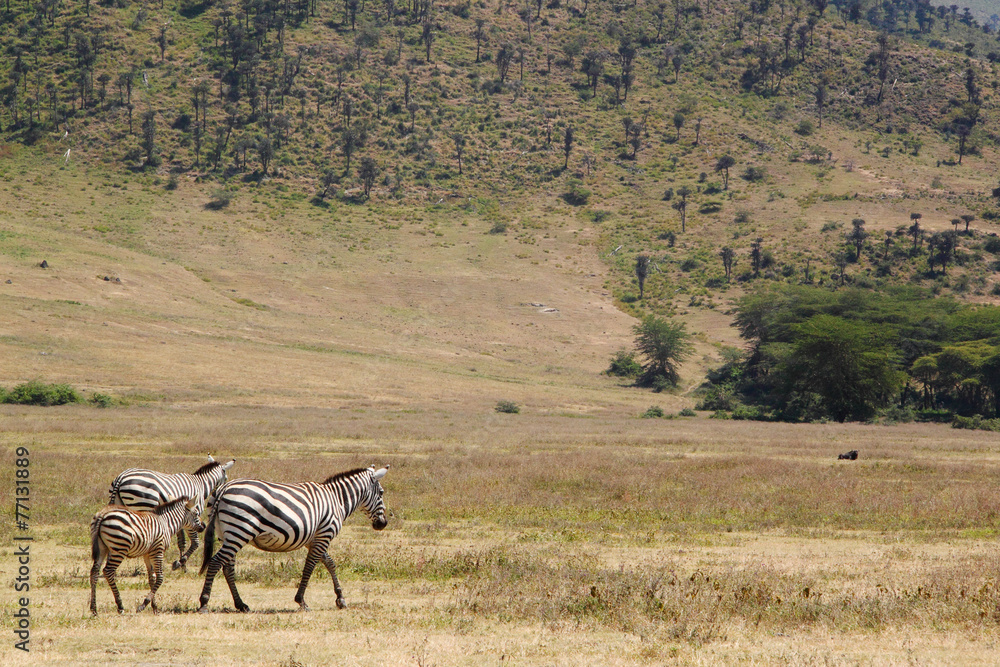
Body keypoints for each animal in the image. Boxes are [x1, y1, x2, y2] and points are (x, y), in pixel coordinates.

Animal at [198, 465, 389, 613]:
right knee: (216, 562)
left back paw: (241, 604)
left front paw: (340, 599)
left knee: (227, 567)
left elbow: (329, 563)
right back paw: (204, 602)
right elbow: (310, 566)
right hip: (240, 531)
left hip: (227, 533)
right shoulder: (324, 534)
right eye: (381, 492)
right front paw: (301, 601)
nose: (383, 524)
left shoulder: (315, 538)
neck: (337, 500)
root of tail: (223, 488)